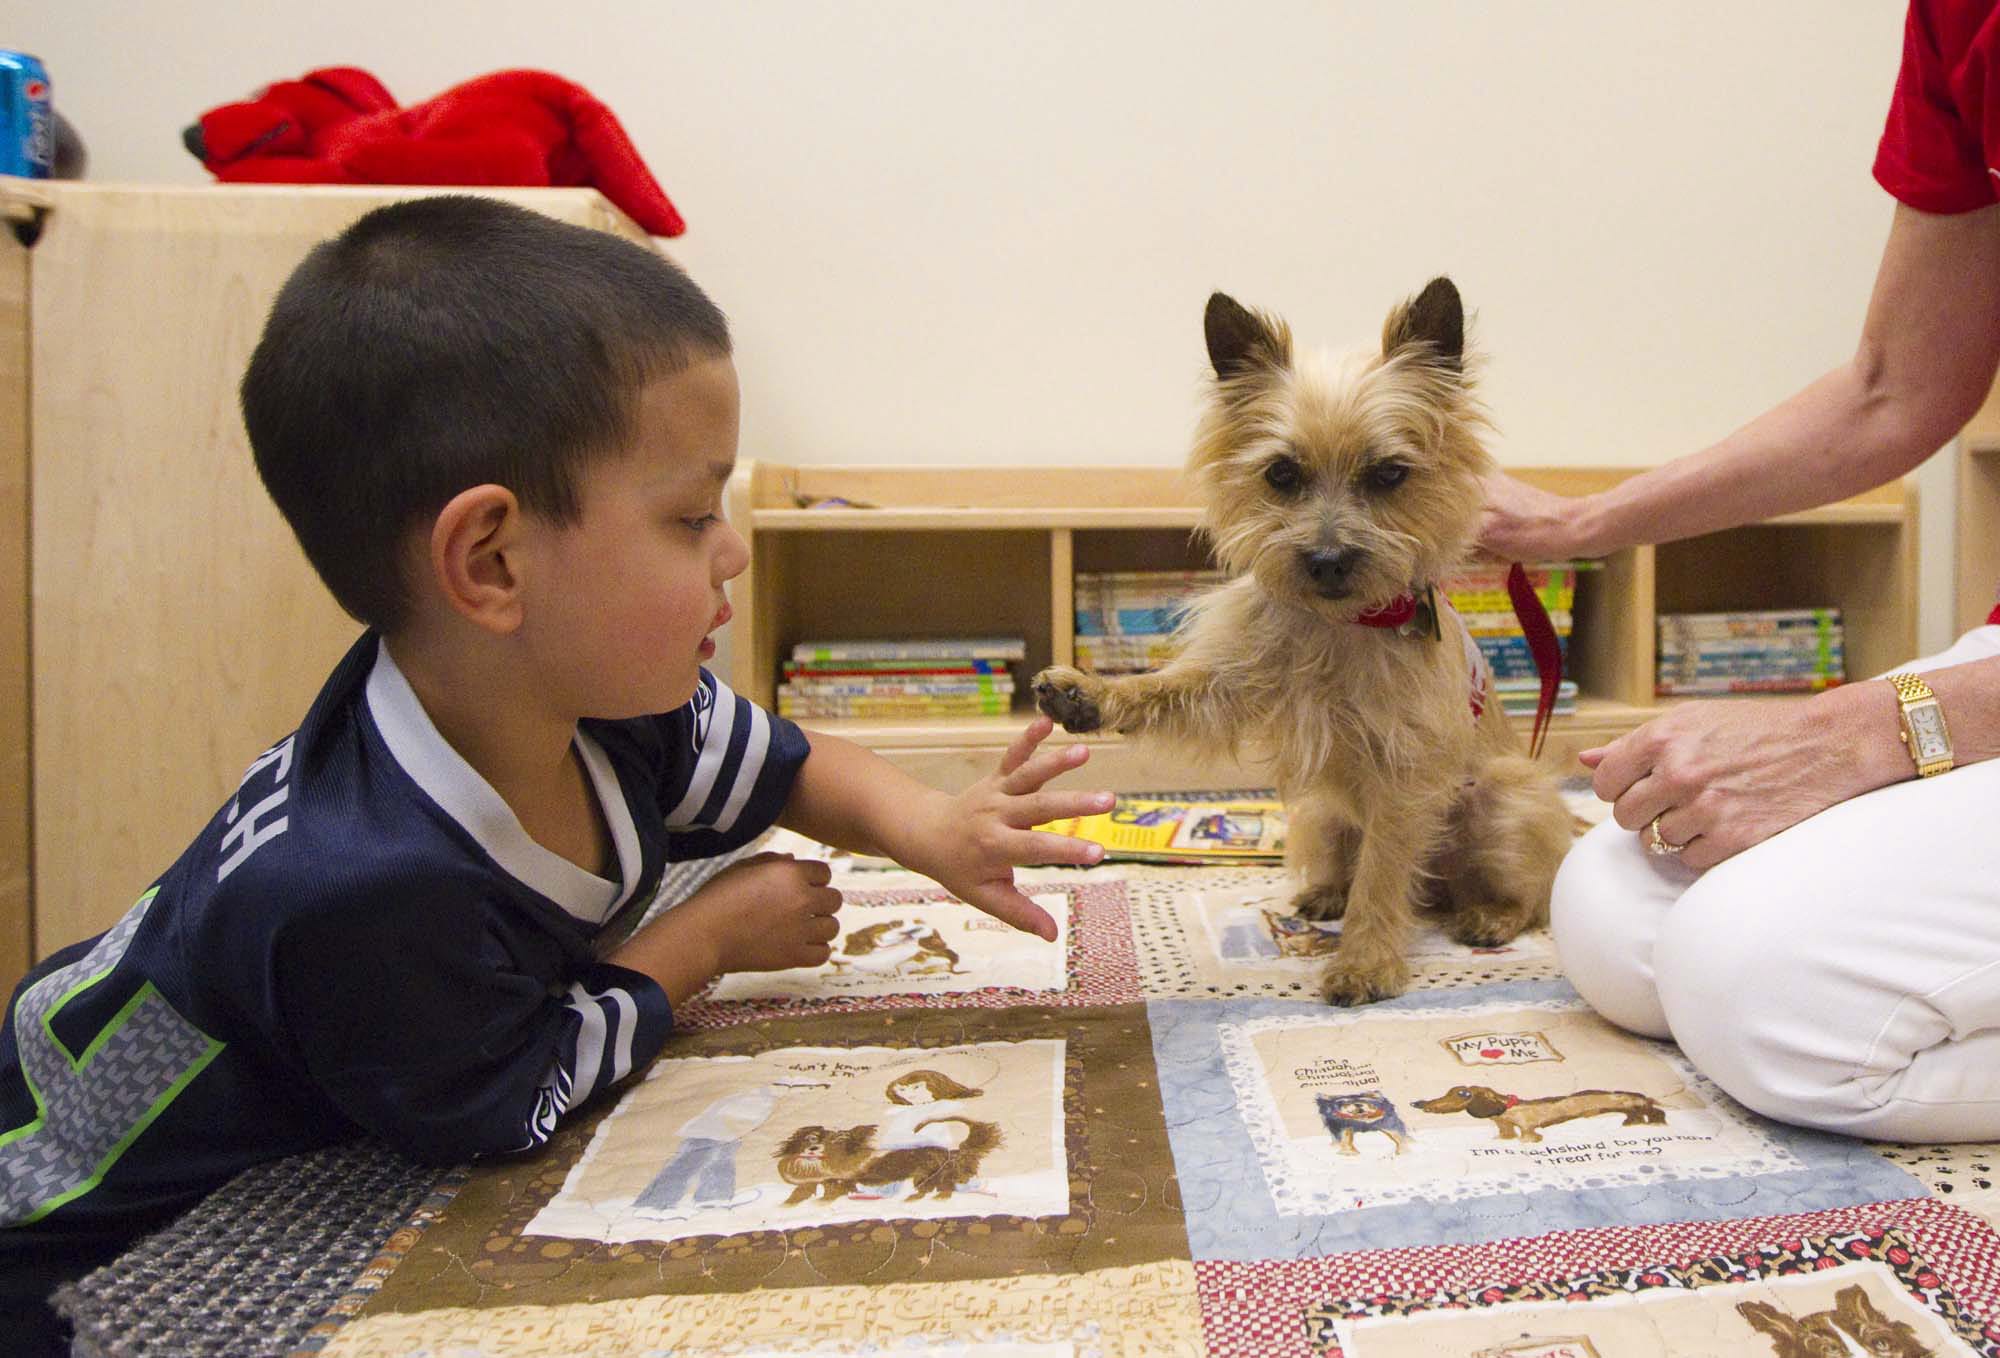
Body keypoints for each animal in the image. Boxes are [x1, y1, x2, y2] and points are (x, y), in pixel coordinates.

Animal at [1040, 278, 1568, 1000]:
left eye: (1389, 474)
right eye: (1282, 474)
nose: (1326, 560)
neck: (1338, 625)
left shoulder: (1404, 778)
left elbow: (1383, 874)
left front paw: (1365, 961)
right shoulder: (1230, 679)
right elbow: (1167, 688)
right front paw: (1088, 694)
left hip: (1505, 798)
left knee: (1527, 891)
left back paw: (1489, 915)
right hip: (1318, 811)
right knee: (1351, 858)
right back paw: (1327, 892)